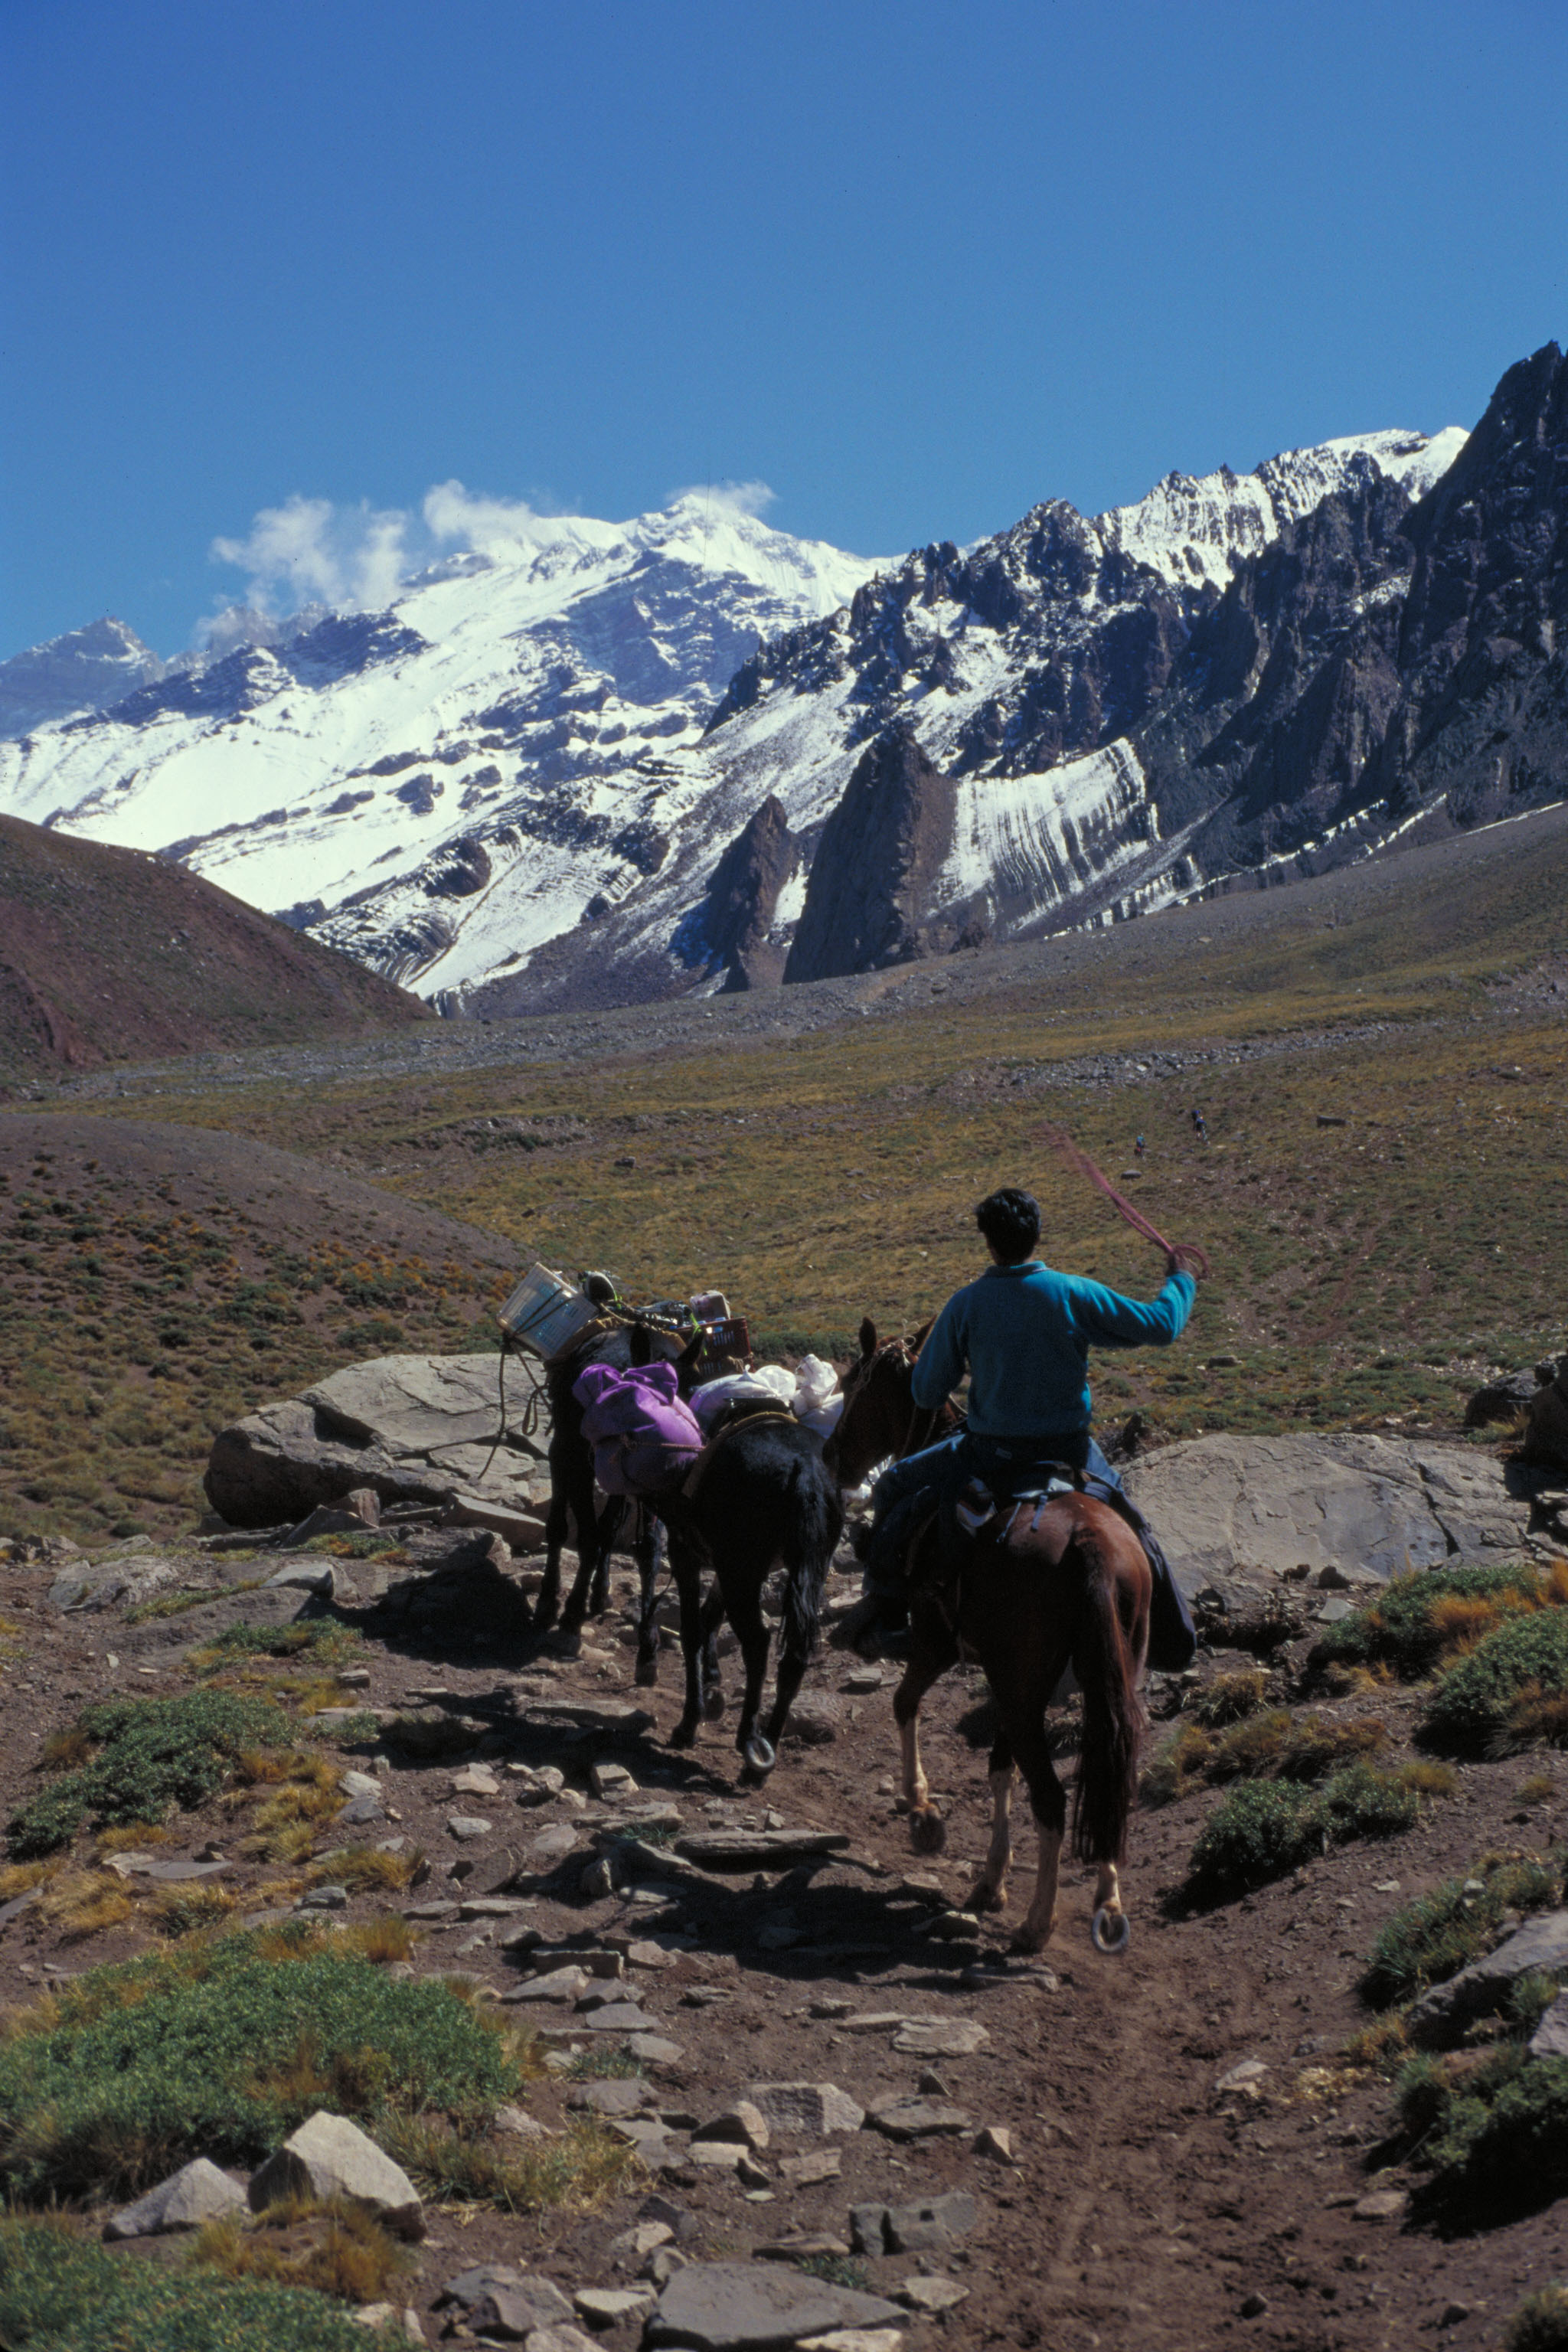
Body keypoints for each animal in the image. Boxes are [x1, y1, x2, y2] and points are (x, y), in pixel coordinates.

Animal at [827, 1317, 1147, 1956]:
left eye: (852, 1387)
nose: (833, 1457)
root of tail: (1090, 1546)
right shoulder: (1010, 1680)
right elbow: (1001, 1768)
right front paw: (991, 1879)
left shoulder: (939, 1646)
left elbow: (904, 1704)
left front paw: (923, 1812)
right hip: (1092, 1683)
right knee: (1108, 1778)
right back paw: (1107, 1903)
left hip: (1019, 1684)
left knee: (1052, 1798)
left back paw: (1038, 1923)